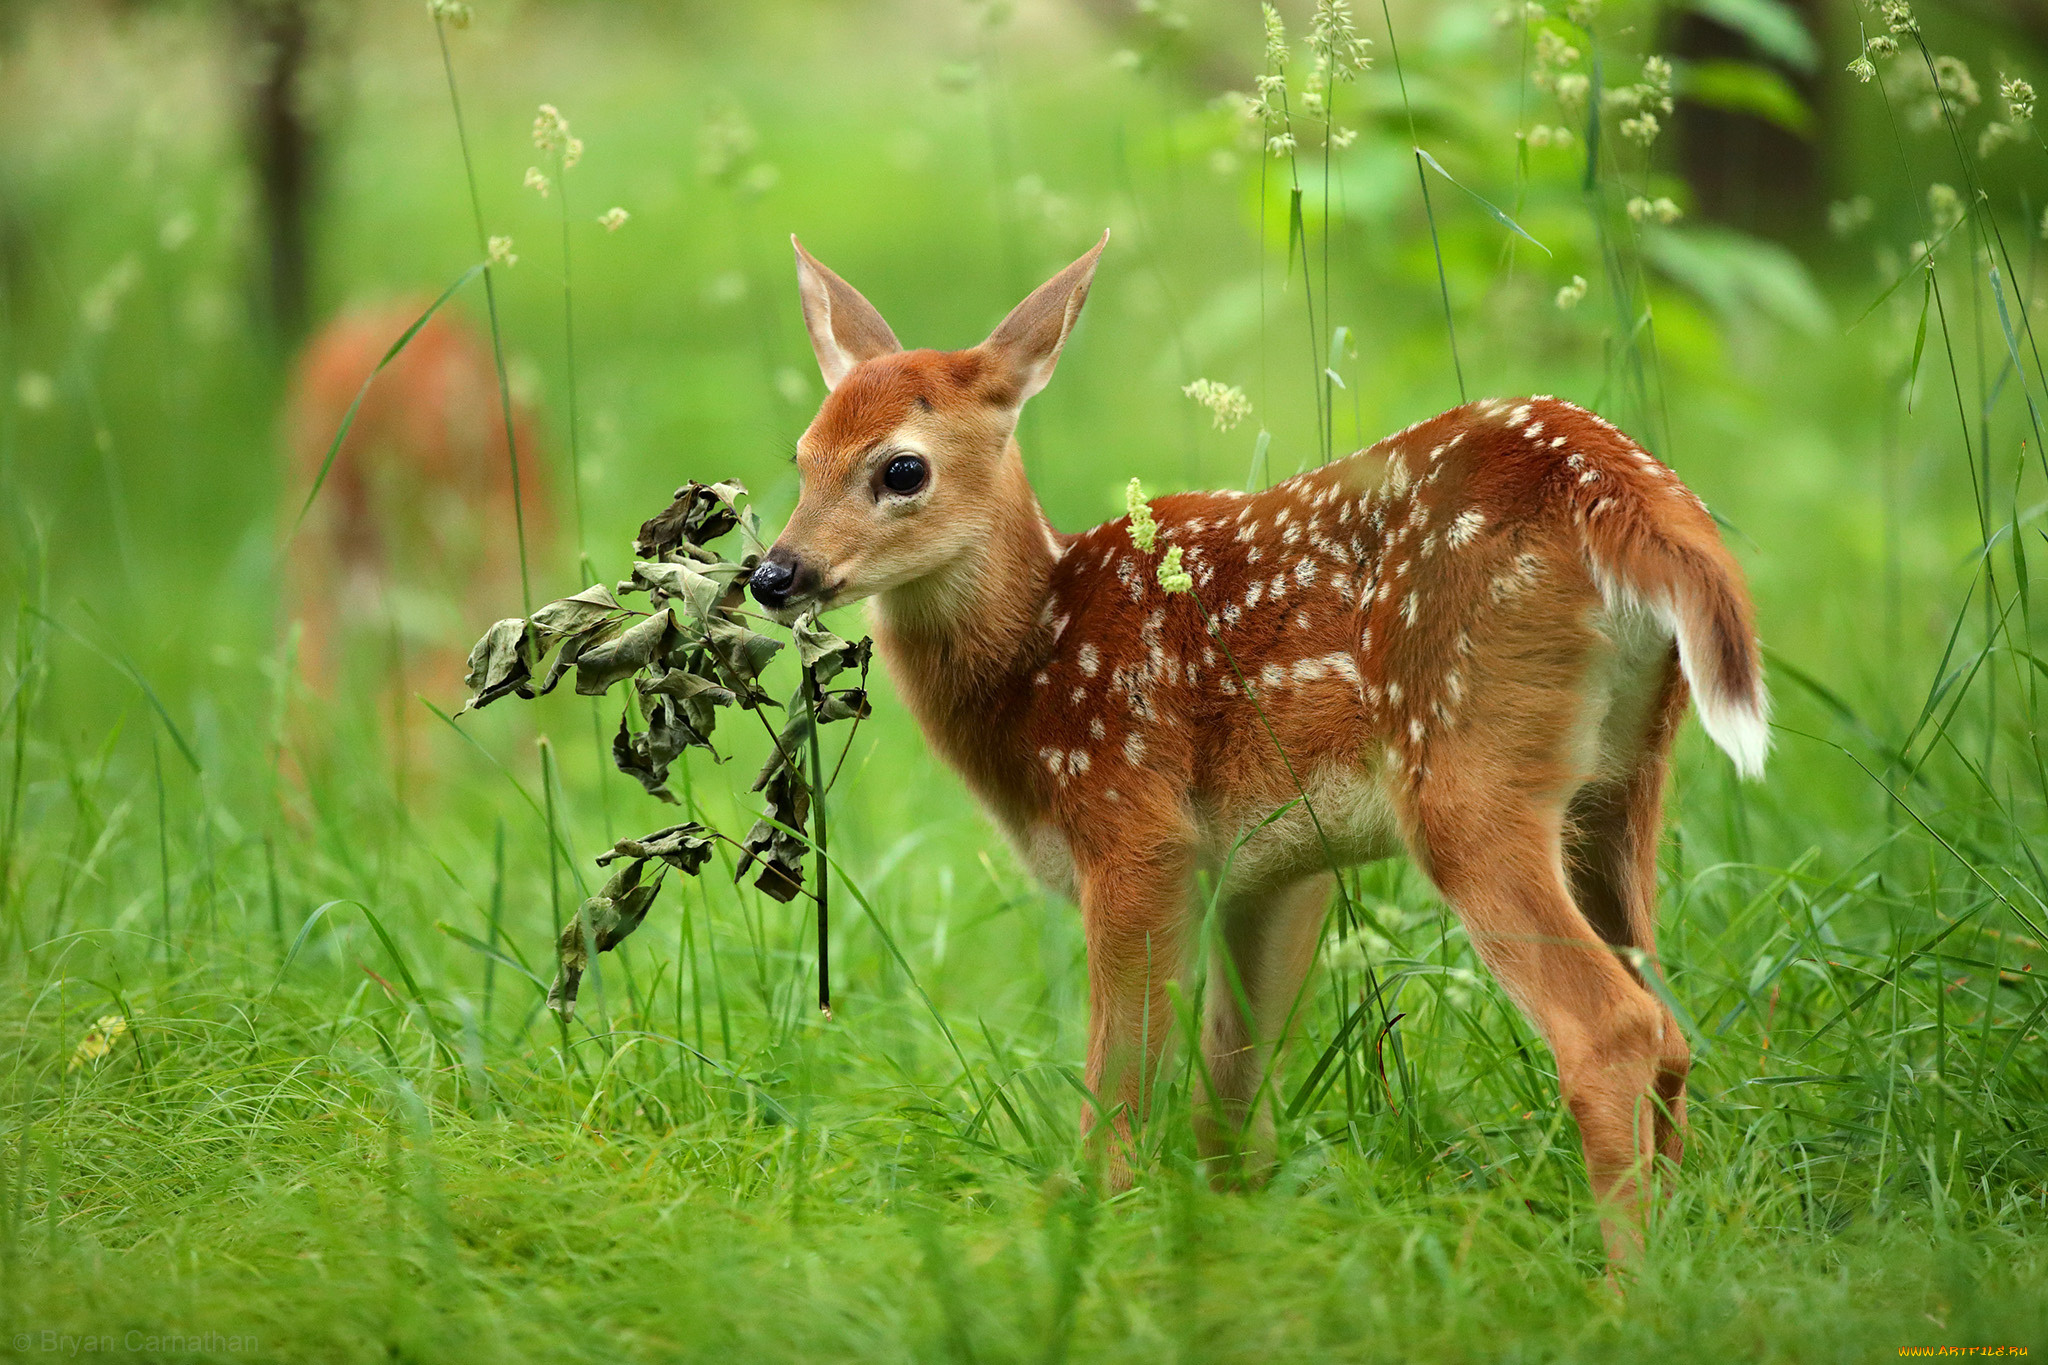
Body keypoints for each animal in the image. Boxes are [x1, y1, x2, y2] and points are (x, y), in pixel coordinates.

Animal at [745, 235, 1769, 1268]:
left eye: (900, 470)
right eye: (801, 455)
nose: (774, 573)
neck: (1035, 658)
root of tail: (1618, 487)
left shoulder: (1136, 825)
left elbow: (1124, 1090)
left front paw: (1094, 1233)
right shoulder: (1273, 865)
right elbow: (1230, 1101)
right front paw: (1233, 1239)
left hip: (1465, 766)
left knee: (1613, 1028)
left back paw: (1625, 1283)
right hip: (1622, 779)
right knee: (1672, 1024)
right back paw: (1683, 1249)